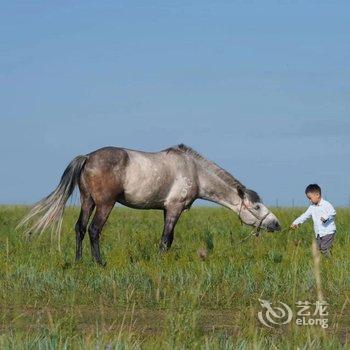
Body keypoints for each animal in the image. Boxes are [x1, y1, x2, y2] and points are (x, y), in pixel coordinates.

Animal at [19, 144, 282, 264]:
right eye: (257, 207)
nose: (276, 224)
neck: (195, 172)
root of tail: (88, 157)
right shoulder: (174, 208)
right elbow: (166, 239)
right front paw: (160, 262)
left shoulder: (166, 210)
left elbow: (168, 238)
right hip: (105, 204)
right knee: (94, 230)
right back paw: (99, 263)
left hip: (88, 200)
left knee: (80, 228)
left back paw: (78, 261)